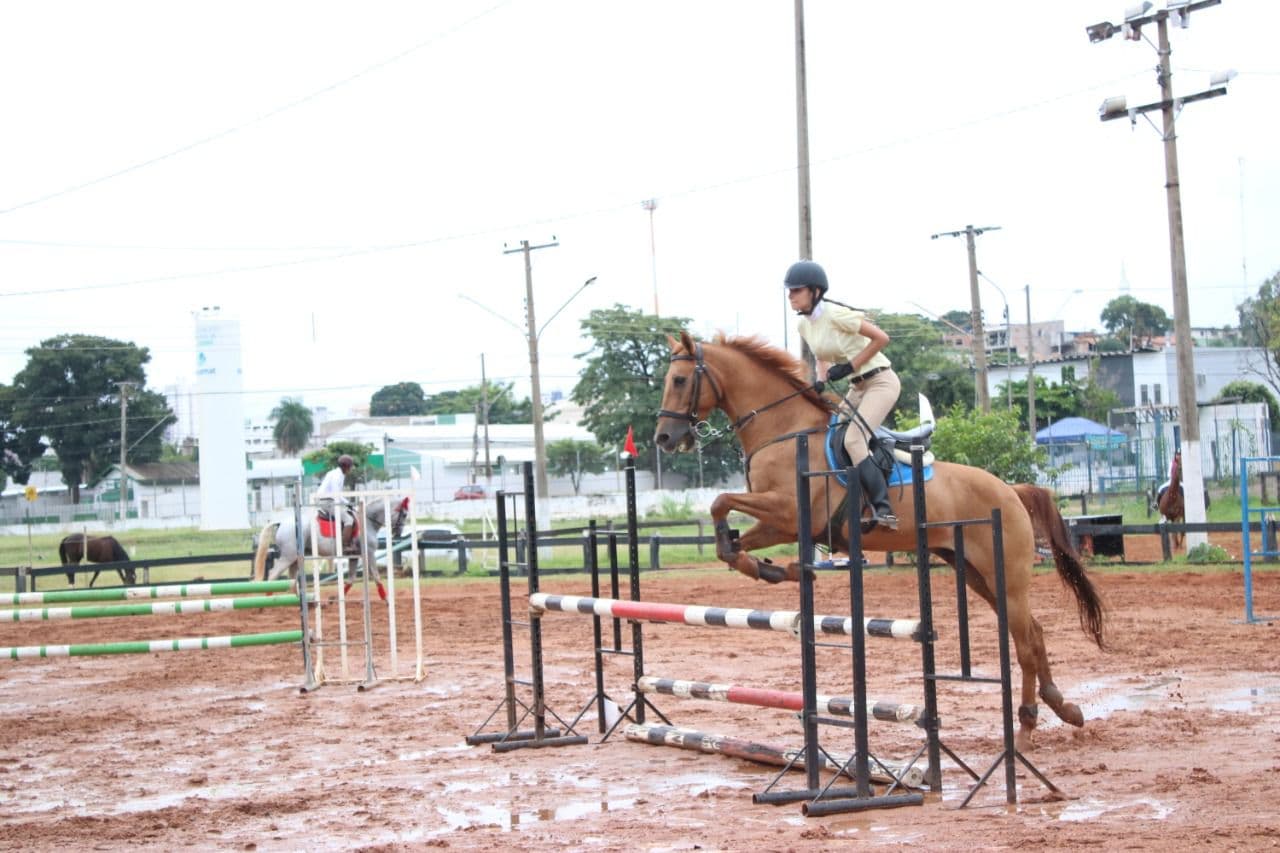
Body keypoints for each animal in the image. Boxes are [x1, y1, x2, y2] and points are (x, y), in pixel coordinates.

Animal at [252, 494, 407, 594]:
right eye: (405, 514)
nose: (398, 533)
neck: (367, 521)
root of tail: (281, 522)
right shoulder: (369, 553)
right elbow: (377, 576)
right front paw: (386, 600)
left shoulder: (354, 556)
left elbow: (350, 580)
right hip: (288, 557)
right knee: (273, 575)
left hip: (295, 559)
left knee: (291, 579)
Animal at [655, 327, 1105, 747]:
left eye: (679, 379)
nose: (663, 439)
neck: (783, 430)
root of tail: (1011, 490)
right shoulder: (780, 523)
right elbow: (730, 540)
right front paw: (773, 569)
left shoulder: (785, 511)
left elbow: (719, 501)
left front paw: (777, 568)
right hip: (977, 574)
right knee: (1032, 632)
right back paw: (1063, 708)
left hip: (1004, 575)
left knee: (1025, 640)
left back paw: (1027, 727)